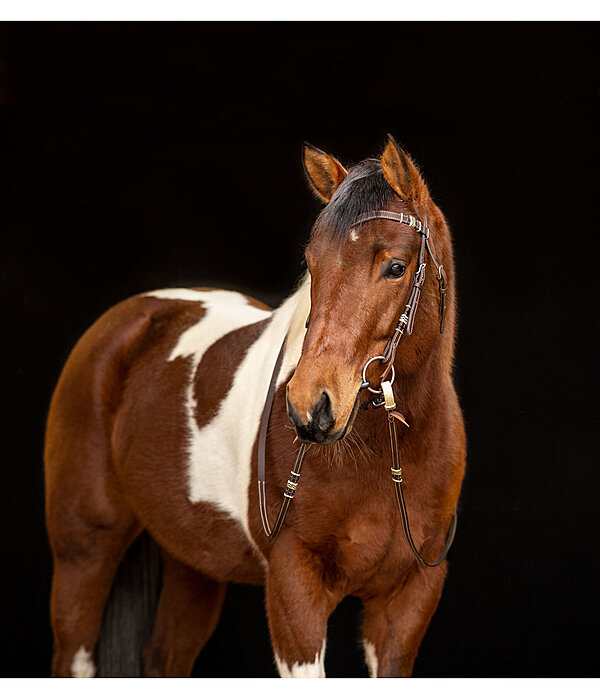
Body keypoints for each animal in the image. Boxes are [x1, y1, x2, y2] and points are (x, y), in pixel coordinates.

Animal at [44, 134, 466, 676]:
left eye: (395, 267)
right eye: (312, 264)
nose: (311, 407)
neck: (384, 458)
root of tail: (127, 318)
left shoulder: (407, 604)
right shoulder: (294, 590)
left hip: (193, 563)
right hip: (83, 552)